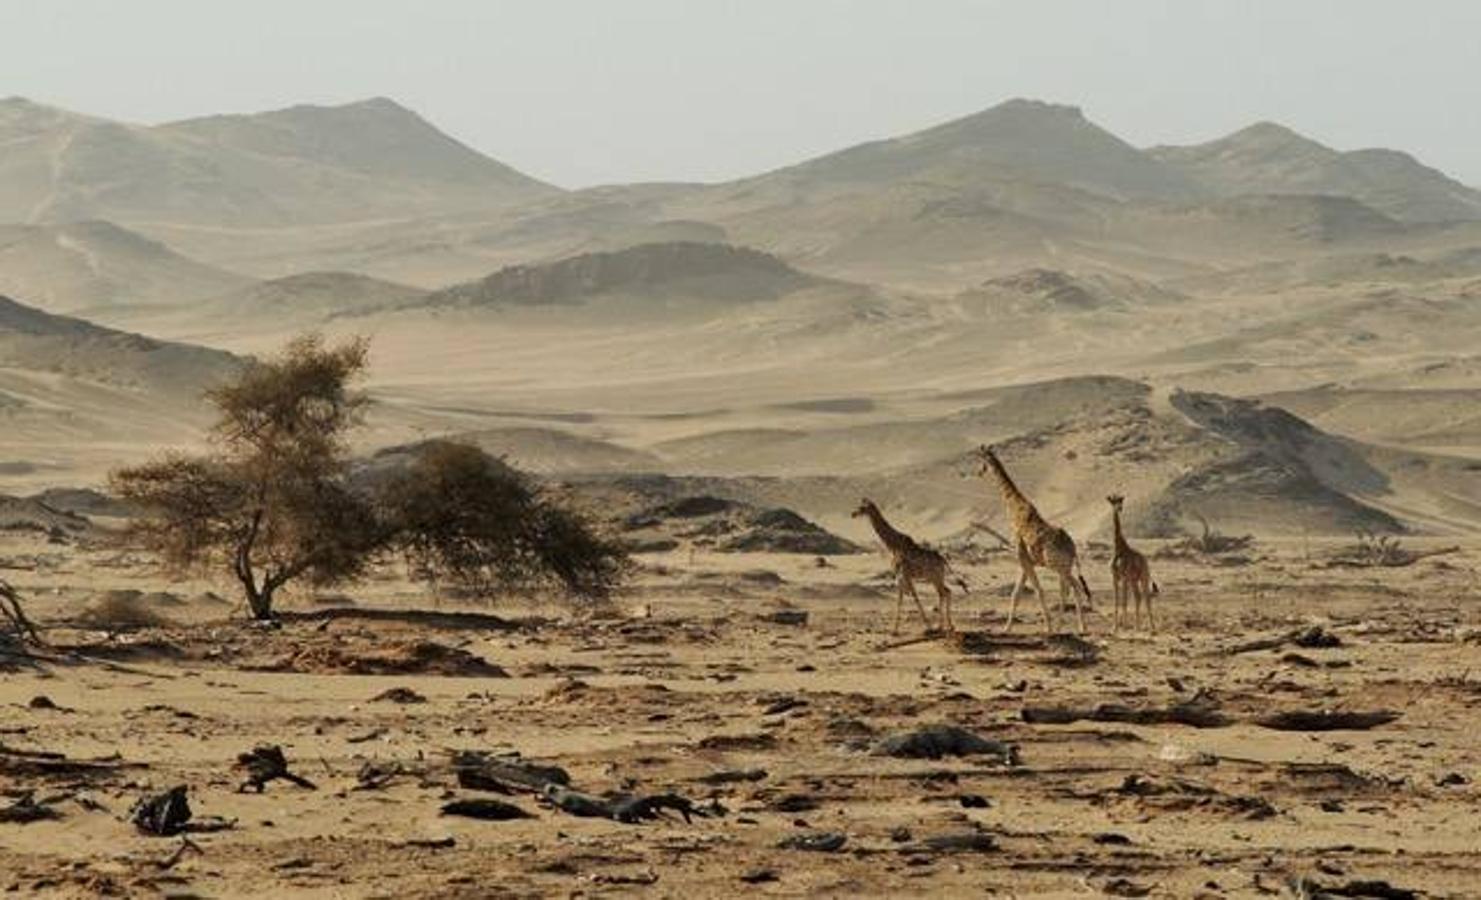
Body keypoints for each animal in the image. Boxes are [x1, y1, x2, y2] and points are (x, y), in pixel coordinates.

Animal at [853, 500, 965, 633]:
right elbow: (902, 599)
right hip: (935, 578)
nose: (853, 514)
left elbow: (911, 598)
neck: (893, 546)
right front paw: (895, 630)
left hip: (935, 577)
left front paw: (928, 627)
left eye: (862, 507)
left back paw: (941, 626)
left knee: (943, 593)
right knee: (947, 591)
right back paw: (948, 626)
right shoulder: (903, 576)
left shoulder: (903, 574)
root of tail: (943, 560)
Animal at [977, 444, 1095, 633]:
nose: (978, 472)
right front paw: (1006, 628)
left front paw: (1048, 627)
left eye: (982, 461)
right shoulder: (1025, 561)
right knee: (1068, 589)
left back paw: (1080, 627)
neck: (1014, 512)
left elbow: (1038, 591)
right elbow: (1016, 594)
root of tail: (1073, 548)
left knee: (1074, 588)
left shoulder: (1023, 558)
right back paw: (1064, 626)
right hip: (1065, 566)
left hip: (1058, 565)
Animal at [1101, 500, 1155, 633]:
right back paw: (1143, 626)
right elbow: (1116, 601)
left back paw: (1145, 627)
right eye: (1113, 500)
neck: (1118, 549)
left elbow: (1124, 601)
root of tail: (1145, 560)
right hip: (1135, 580)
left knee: (1143, 597)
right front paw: (1114, 627)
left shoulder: (1125, 577)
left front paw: (1124, 627)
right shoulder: (1115, 577)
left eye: (1120, 500)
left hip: (1143, 577)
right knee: (1140, 596)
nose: (1119, 508)